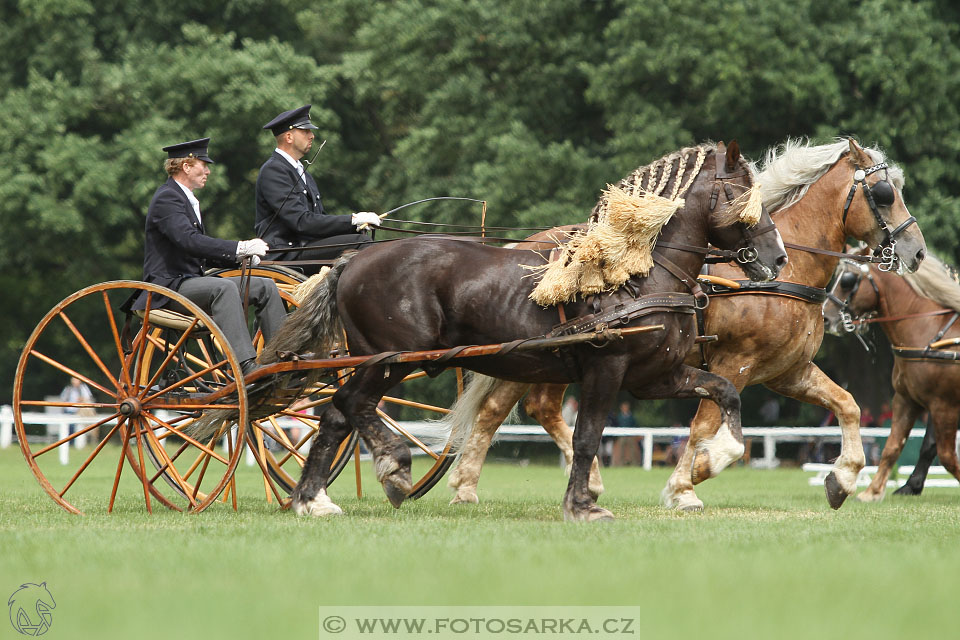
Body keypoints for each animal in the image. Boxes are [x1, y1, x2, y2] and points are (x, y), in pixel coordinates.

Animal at [260, 141, 788, 520]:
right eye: (742, 195)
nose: (778, 257)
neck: (641, 274)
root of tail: (351, 261)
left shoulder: (658, 376)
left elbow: (723, 392)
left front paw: (718, 457)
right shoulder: (606, 369)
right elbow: (588, 435)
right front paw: (582, 505)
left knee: (337, 415)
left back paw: (313, 499)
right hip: (387, 360)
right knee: (349, 405)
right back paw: (392, 467)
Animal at [446, 138, 928, 512]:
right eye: (885, 193)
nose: (917, 250)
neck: (788, 273)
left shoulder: (787, 372)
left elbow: (847, 404)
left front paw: (842, 478)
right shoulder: (734, 363)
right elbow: (704, 427)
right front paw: (689, 482)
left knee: (508, 410)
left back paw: (469, 485)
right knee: (516, 409)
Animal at [820, 251, 960, 500]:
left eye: (847, 280)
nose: (826, 317)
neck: (930, 331)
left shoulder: (945, 404)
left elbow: (946, 455)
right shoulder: (910, 400)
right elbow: (896, 446)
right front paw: (875, 491)